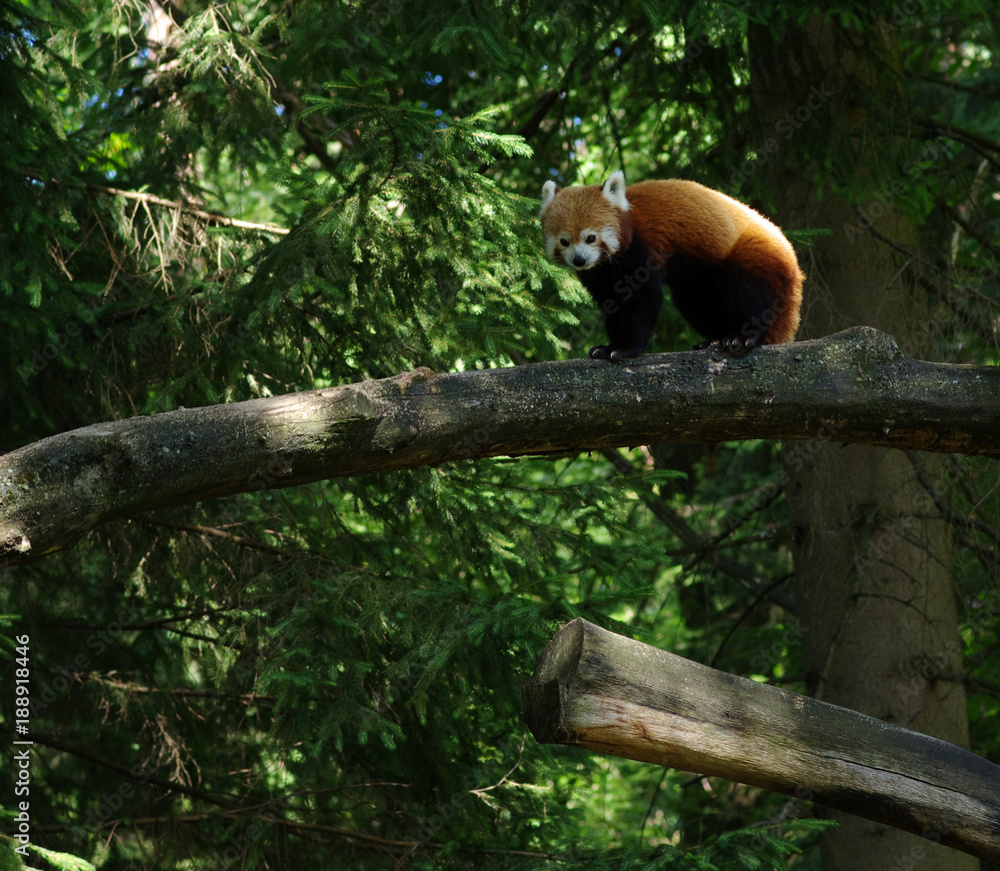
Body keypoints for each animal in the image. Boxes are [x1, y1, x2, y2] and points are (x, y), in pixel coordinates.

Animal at [540, 169, 804, 360]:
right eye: (564, 241)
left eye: (590, 238)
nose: (579, 260)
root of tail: (791, 256)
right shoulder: (601, 274)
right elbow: (612, 303)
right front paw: (608, 345)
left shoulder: (642, 250)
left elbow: (642, 301)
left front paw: (624, 348)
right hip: (698, 281)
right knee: (695, 301)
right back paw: (714, 339)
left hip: (754, 254)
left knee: (747, 294)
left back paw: (743, 336)